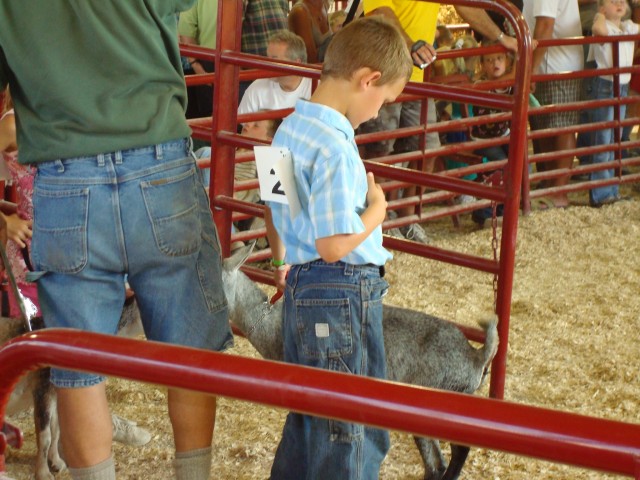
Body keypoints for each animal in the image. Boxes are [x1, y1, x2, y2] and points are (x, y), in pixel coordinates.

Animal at [1, 296, 144, 480]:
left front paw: (56, 463)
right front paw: (43, 473)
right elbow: (45, 435)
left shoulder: (56, 391)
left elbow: (56, 430)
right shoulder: (42, 388)